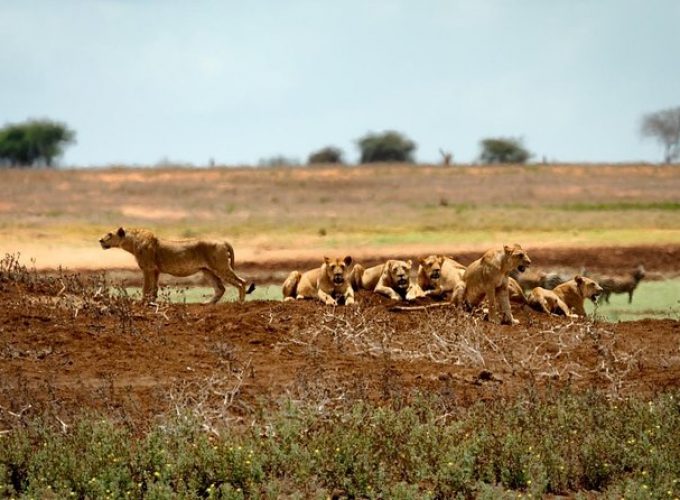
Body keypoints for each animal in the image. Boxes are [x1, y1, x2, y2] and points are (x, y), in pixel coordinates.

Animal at [101, 228, 258, 304]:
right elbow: (154, 288)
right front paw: (152, 302)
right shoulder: (155, 270)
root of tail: (223, 241)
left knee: (241, 282)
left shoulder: (147, 268)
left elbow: (146, 288)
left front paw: (141, 303)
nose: (100, 240)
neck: (131, 241)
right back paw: (207, 303)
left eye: (109, 234)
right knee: (220, 288)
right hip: (207, 270)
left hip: (220, 267)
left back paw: (240, 303)